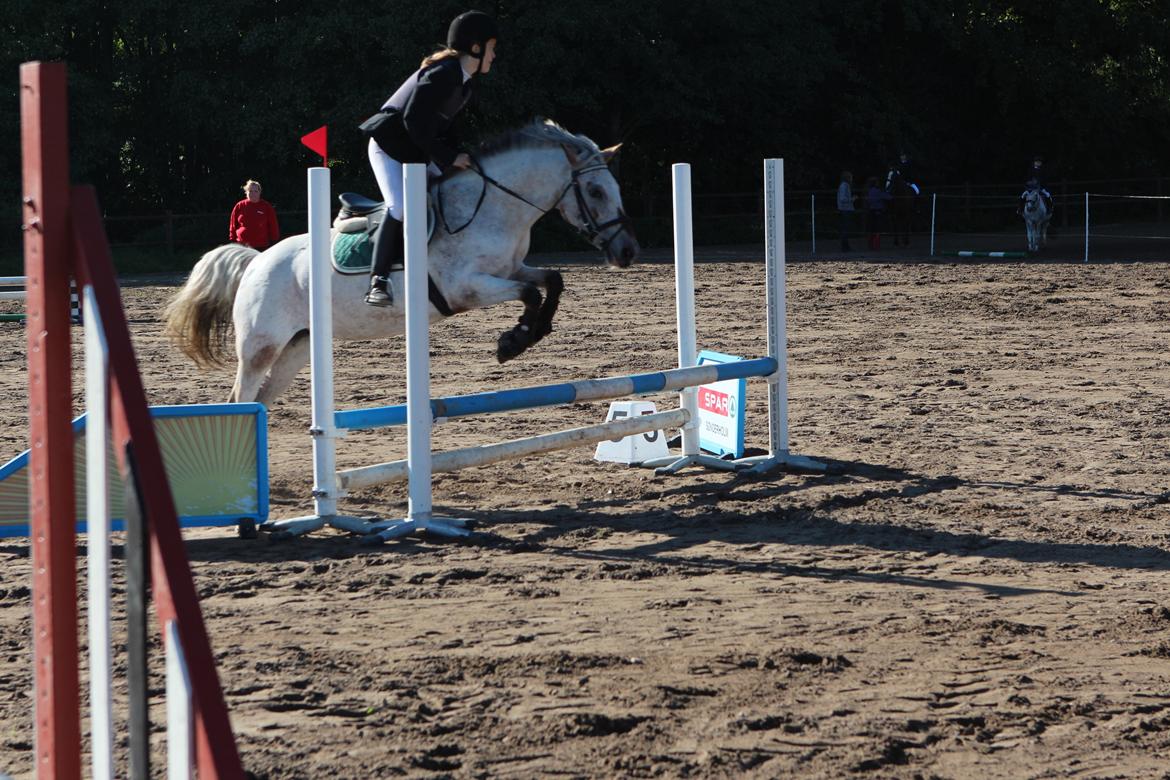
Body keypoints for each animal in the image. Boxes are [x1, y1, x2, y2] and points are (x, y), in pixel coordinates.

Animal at [162, 120, 641, 409]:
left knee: (260, 400)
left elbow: (550, 281)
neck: (493, 206)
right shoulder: (465, 288)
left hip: (298, 346)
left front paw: (529, 334)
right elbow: (529, 293)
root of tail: (258, 260)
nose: (627, 252)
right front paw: (513, 341)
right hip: (261, 345)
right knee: (242, 398)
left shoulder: (508, 269)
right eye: (595, 191)